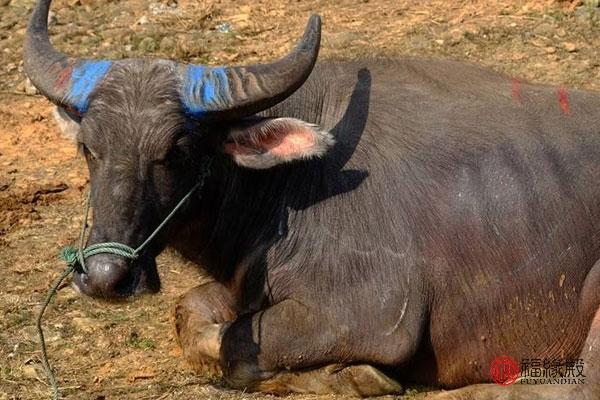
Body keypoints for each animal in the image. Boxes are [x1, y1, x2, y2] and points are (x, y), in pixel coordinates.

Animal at [24, 0, 600, 396]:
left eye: (177, 149)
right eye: (89, 147)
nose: (105, 277)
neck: (289, 186)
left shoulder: (370, 314)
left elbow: (237, 344)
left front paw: (358, 375)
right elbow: (191, 315)